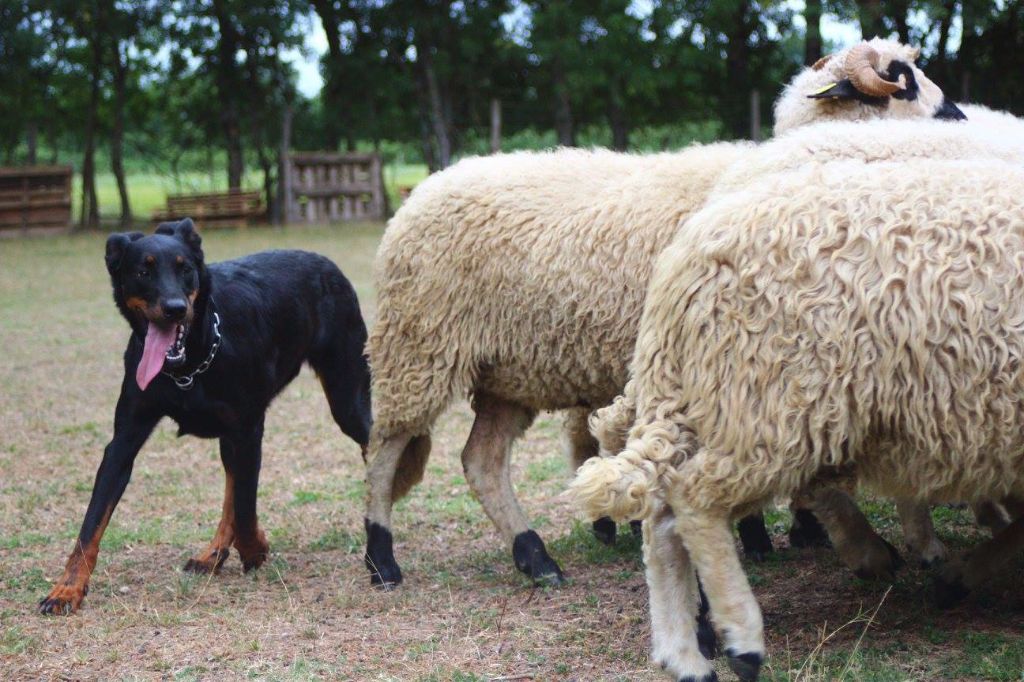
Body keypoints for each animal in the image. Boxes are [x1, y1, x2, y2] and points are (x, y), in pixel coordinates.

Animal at [40, 218, 371, 615]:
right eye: (143, 271)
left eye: (185, 269)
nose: (174, 308)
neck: (190, 364)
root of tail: (327, 264)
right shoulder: (123, 442)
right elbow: (91, 523)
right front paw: (67, 588)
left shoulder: (249, 429)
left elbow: (245, 505)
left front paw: (255, 548)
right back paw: (213, 553)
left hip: (348, 400)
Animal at [362, 39, 962, 588]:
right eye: (900, 80)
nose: (957, 117)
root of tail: (420, 194)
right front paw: (769, 536)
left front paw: (795, 530)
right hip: (418, 347)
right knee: (385, 448)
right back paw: (382, 558)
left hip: (506, 375)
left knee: (481, 463)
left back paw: (535, 558)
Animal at [572, 152, 1024, 681]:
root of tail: (687, 256)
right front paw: (956, 575)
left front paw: (958, 576)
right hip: (773, 403)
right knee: (693, 498)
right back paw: (742, 639)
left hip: (717, 398)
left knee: (662, 517)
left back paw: (683, 654)